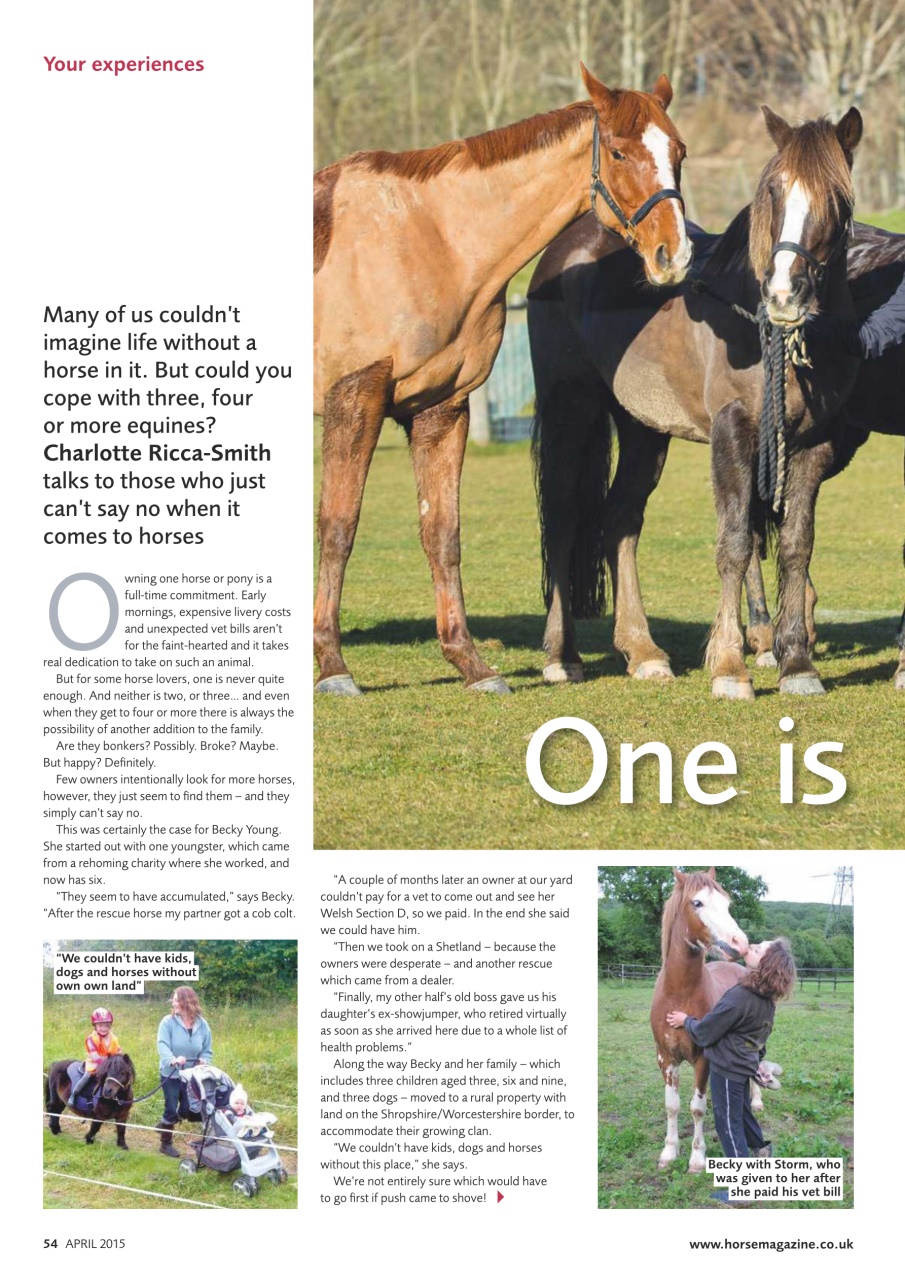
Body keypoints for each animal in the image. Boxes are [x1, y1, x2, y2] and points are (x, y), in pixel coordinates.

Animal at [314, 65, 693, 697]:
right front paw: (332, 665)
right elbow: (338, 528)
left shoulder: (442, 410)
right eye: (618, 151)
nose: (674, 255)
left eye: (678, 153)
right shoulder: (355, 400)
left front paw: (469, 664)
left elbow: (442, 534)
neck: (430, 238)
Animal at [530, 106, 864, 698]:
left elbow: (796, 545)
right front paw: (730, 666)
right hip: (571, 410)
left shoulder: (812, 445)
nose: (783, 295)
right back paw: (561, 656)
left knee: (620, 520)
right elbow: (734, 543)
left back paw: (642, 652)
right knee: (566, 521)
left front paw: (798, 663)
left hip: (643, 429)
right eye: (774, 191)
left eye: (838, 199)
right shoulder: (733, 433)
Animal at [650, 869, 757, 1172]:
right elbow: (671, 1105)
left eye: (727, 904)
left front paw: (697, 1158)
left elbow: (697, 1108)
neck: (679, 996)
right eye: (697, 903)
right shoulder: (666, 1058)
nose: (741, 944)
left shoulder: (703, 1059)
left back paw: (757, 1101)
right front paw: (669, 1152)